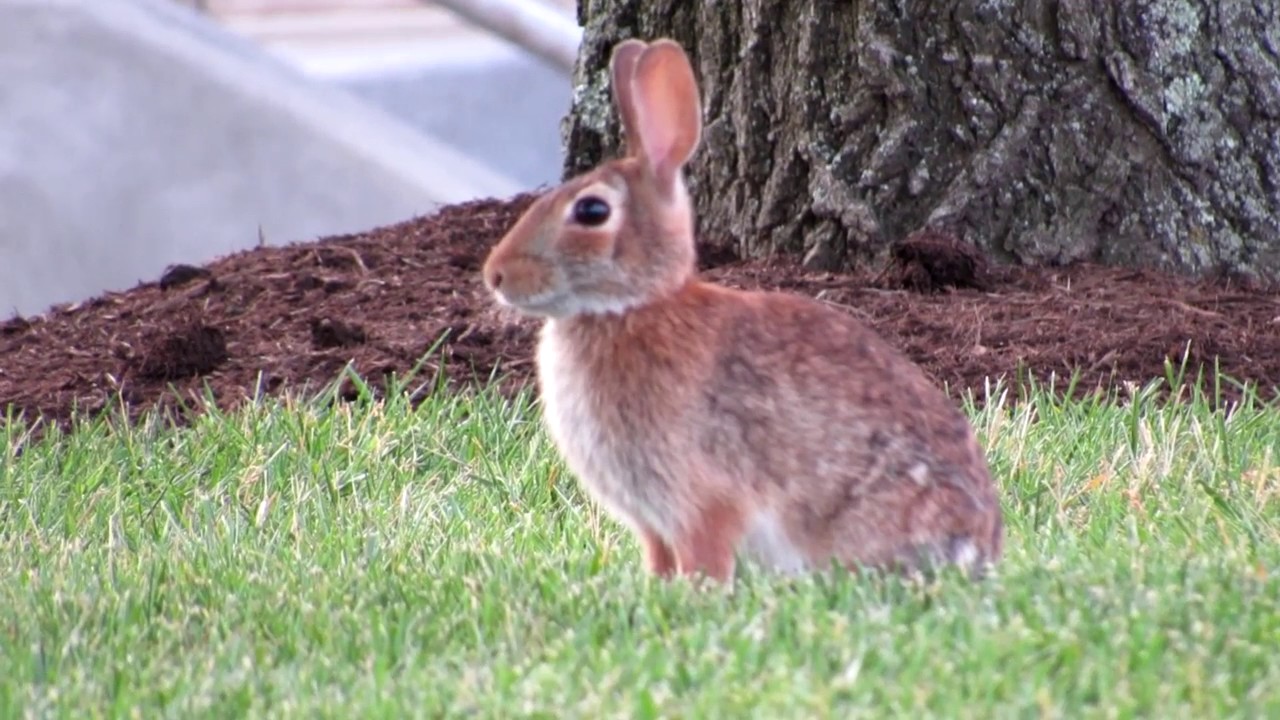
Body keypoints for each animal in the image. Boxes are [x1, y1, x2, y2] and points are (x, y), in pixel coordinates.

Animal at [481, 37, 1004, 583]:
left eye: (591, 211)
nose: (495, 275)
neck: (632, 306)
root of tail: (978, 544)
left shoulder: (702, 499)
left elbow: (706, 555)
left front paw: (696, 592)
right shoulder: (653, 521)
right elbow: (659, 558)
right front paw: (657, 586)